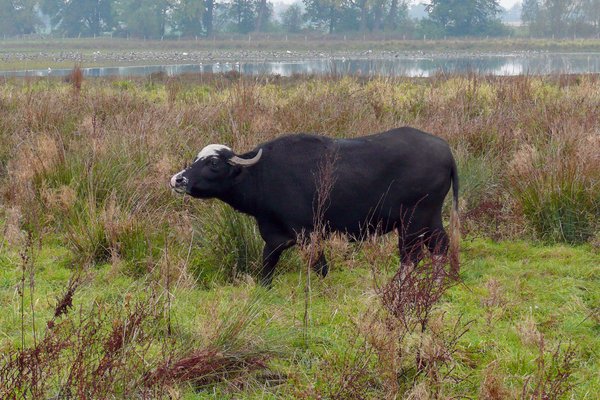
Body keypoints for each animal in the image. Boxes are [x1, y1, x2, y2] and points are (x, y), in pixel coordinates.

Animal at [169, 126, 460, 286]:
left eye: (213, 163)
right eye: (195, 159)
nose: (177, 179)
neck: (263, 174)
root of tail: (446, 151)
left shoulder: (310, 234)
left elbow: (320, 267)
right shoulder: (275, 236)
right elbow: (267, 265)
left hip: (412, 221)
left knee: (412, 255)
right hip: (431, 219)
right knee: (440, 247)